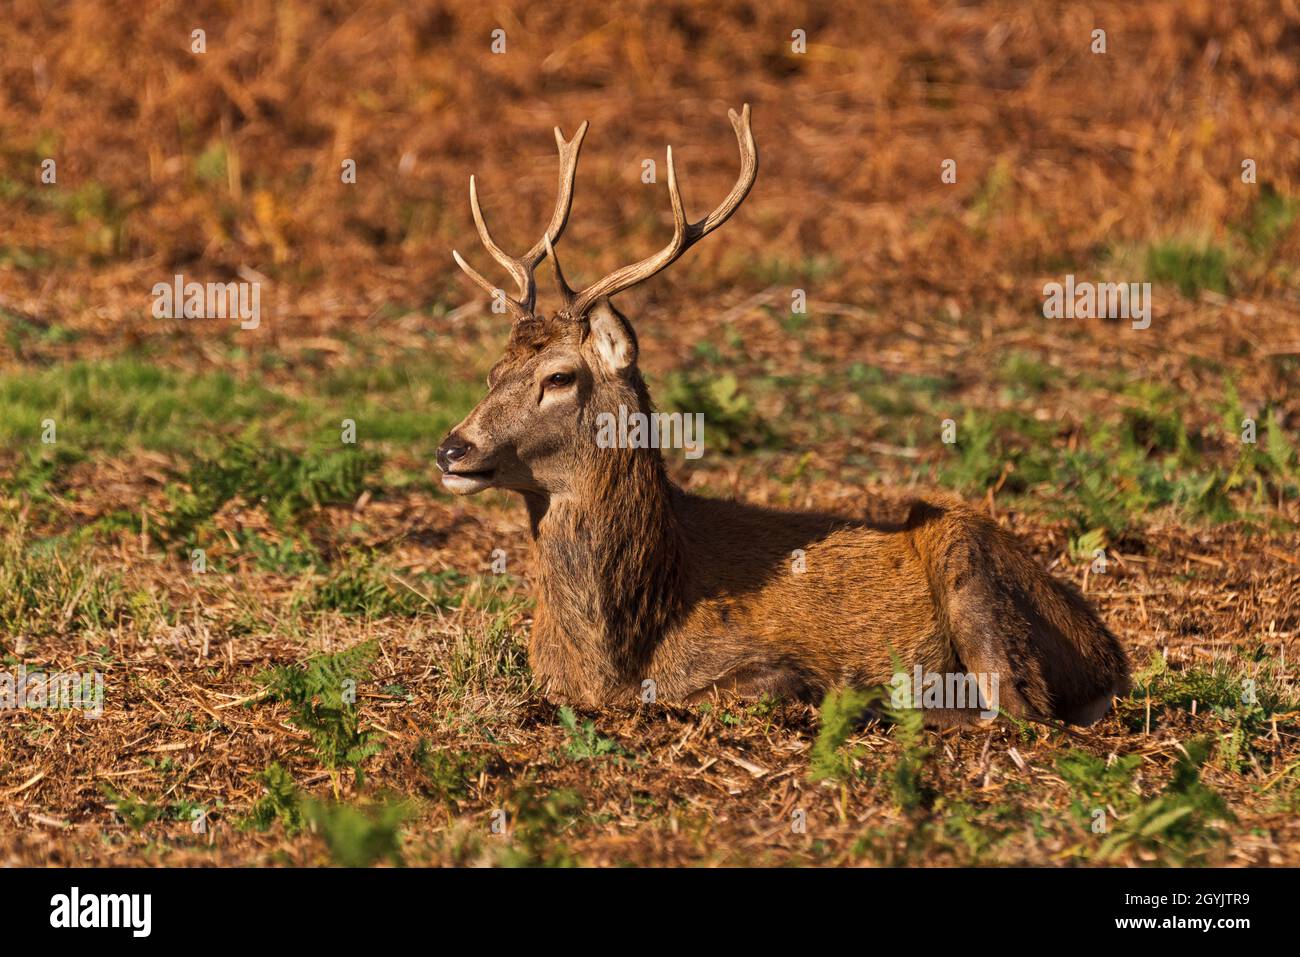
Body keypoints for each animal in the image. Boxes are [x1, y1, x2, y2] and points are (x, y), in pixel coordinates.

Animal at [436, 104, 1128, 722]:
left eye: (559, 377)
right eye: (493, 372)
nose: (451, 448)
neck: (619, 651)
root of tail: (1111, 656)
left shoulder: (764, 661)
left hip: (969, 559)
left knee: (1020, 708)